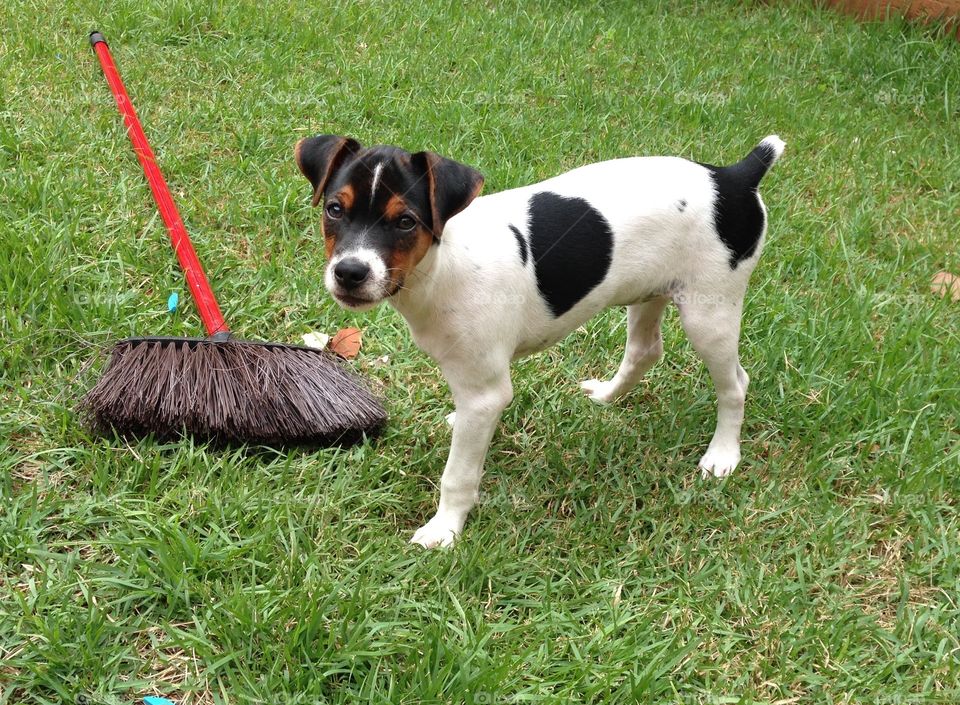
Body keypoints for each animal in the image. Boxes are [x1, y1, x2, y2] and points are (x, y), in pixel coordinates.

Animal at [296, 133, 784, 552]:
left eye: (405, 222)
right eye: (335, 209)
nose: (350, 272)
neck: (441, 263)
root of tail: (734, 176)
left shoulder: (485, 392)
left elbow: (458, 474)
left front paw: (445, 529)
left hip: (710, 314)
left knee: (734, 385)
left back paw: (722, 455)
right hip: (650, 292)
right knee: (646, 351)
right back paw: (607, 395)